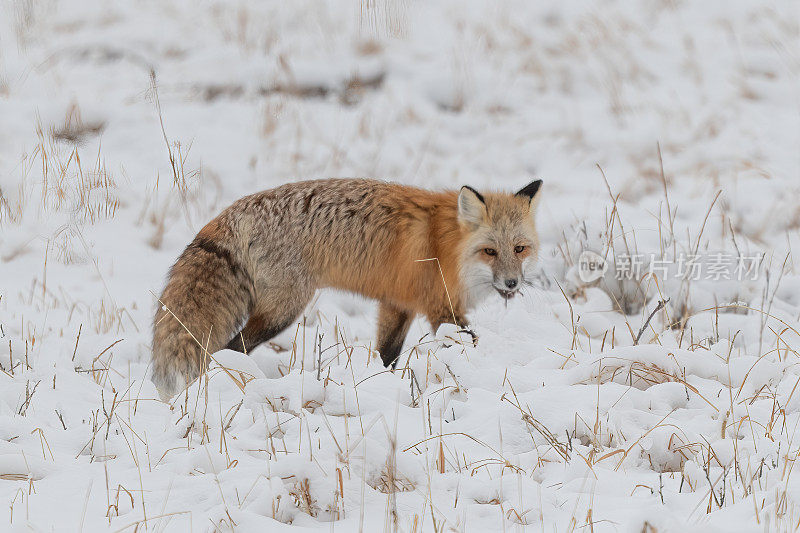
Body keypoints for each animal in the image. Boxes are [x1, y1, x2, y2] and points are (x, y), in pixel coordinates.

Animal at [152, 178, 544, 394]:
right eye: (489, 251)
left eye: (519, 249)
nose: (512, 283)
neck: (444, 244)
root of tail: (230, 213)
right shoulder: (441, 309)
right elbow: (465, 344)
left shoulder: (397, 304)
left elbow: (387, 355)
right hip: (283, 311)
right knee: (229, 348)